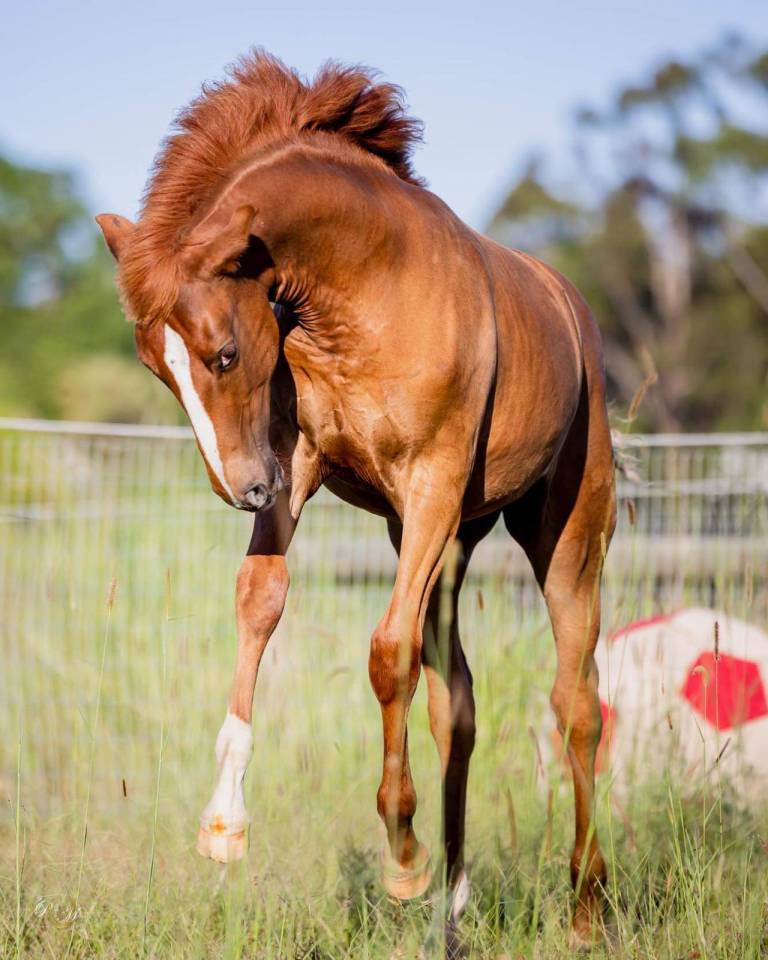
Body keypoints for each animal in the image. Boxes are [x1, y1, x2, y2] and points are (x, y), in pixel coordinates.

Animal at [96, 51, 616, 950]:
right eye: (160, 371)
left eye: (223, 354)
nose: (240, 489)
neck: (369, 288)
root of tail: (572, 311)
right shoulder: (300, 463)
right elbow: (261, 600)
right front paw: (224, 823)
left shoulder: (430, 481)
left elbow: (385, 653)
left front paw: (402, 857)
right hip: (445, 540)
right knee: (458, 704)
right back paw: (454, 908)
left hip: (562, 535)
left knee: (576, 700)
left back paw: (582, 908)